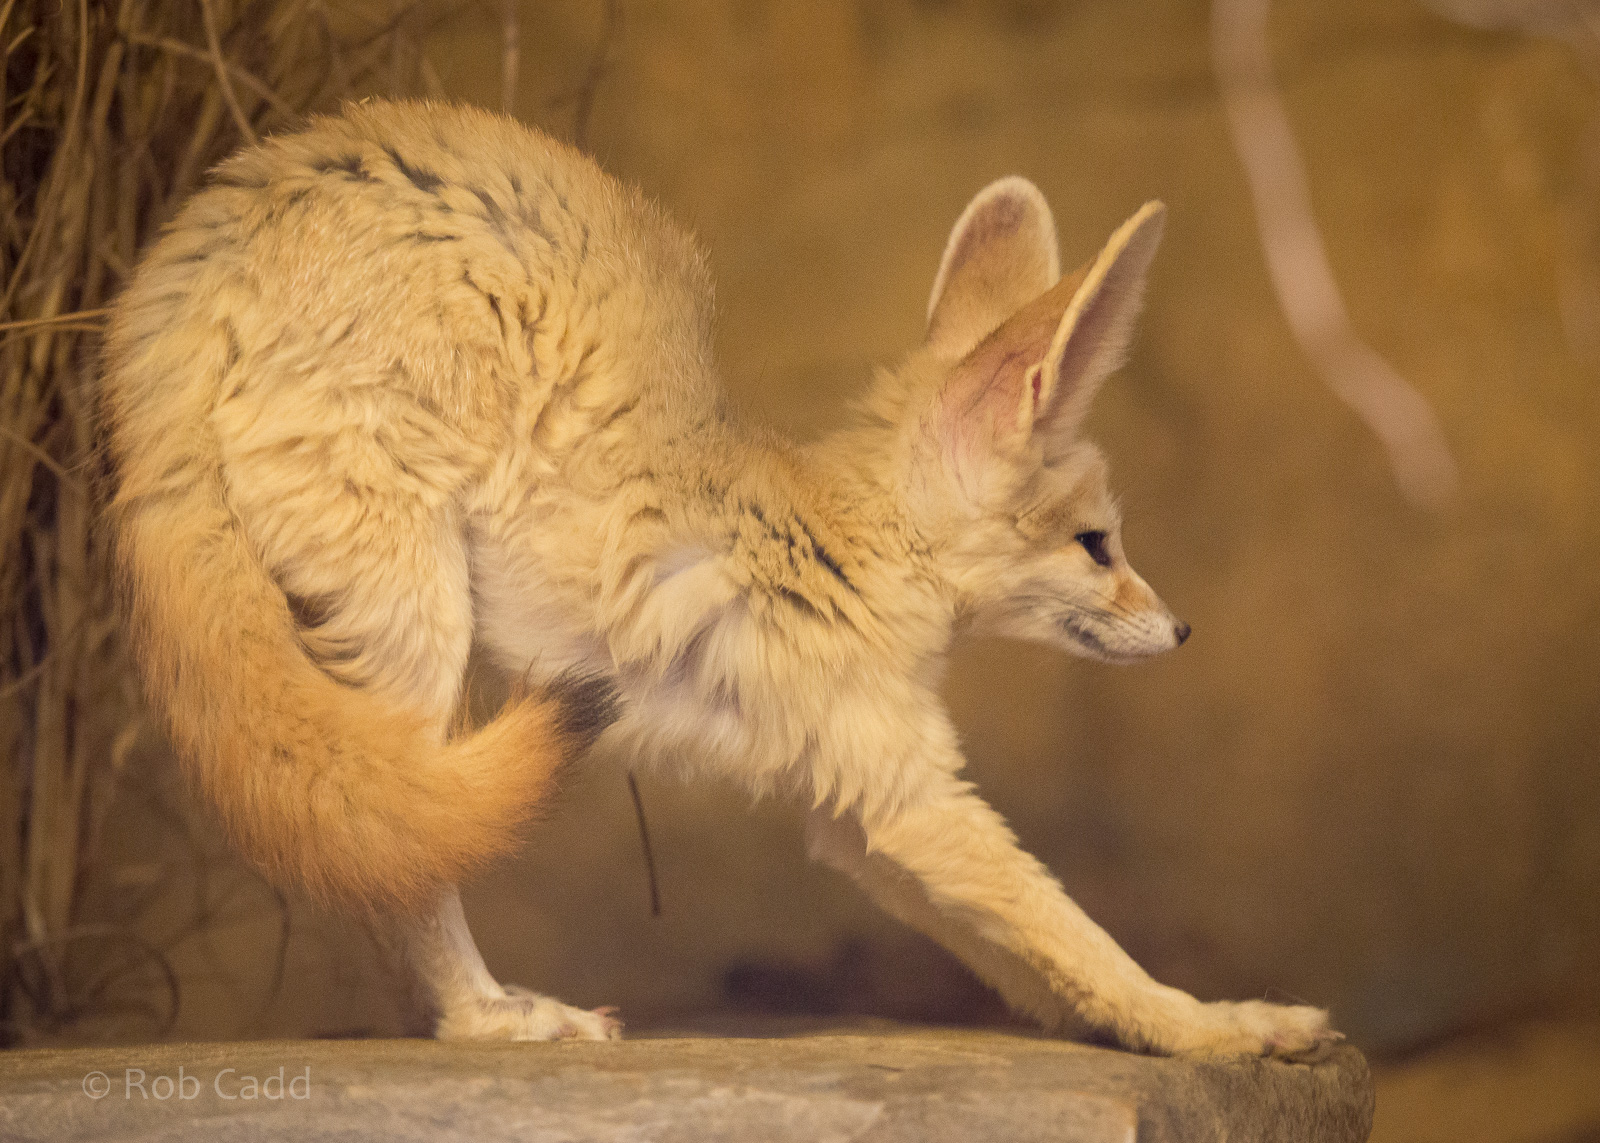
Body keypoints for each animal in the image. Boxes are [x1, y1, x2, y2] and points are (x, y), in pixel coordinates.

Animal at [101, 99, 1338, 1056]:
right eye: (1098, 547)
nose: (1182, 631)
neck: (850, 537)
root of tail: (220, 230)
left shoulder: (852, 814)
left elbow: (1032, 960)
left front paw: (1155, 1026)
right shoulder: (905, 791)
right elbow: (1073, 930)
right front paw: (1219, 1028)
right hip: (418, 621)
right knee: (390, 849)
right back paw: (490, 1017)